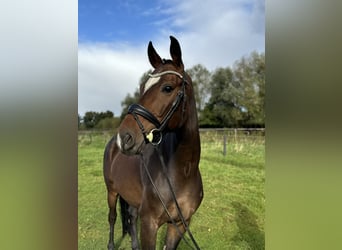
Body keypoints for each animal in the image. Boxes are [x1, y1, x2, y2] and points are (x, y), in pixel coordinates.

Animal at [103, 36, 202, 249]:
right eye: (142, 88)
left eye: (168, 88)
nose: (124, 138)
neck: (183, 172)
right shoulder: (149, 224)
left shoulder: (180, 224)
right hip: (111, 191)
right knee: (112, 217)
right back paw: (111, 244)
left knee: (131, 218)